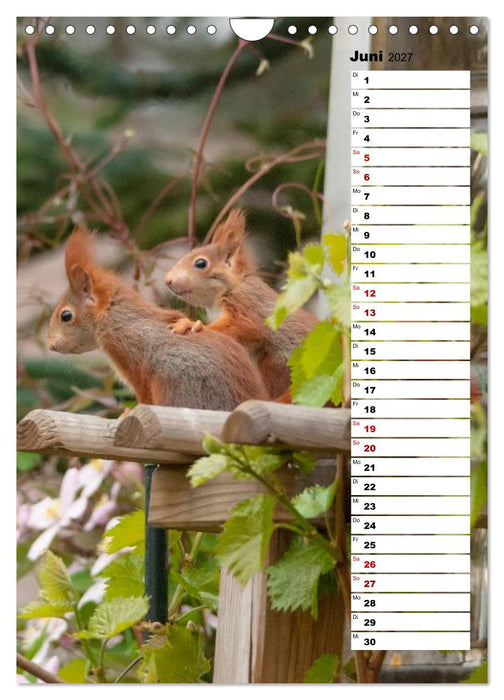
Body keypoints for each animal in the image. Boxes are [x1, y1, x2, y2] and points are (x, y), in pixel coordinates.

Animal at [47, 227, 269, 410]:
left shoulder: (127, 350)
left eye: (66, 316)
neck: (114, 316)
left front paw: (127, 414)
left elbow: (143, 395)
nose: (50, 345)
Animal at [164, 209, 318, 398]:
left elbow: (248, 327)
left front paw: (192, 325)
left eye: (201, 263)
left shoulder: (246, 304)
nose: (168, 281)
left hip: (276, 367)